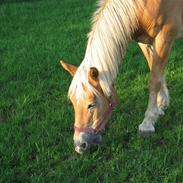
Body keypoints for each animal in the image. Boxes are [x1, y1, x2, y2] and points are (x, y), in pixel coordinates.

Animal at [61, 0, 183, 154]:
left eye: (91, 104)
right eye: (72, 102)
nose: (79, 145)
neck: (144, 6)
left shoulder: (164, 38)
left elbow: (155, 80)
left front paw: (147, 123)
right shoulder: (145, 41)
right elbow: (156, 72)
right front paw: (161, 106)